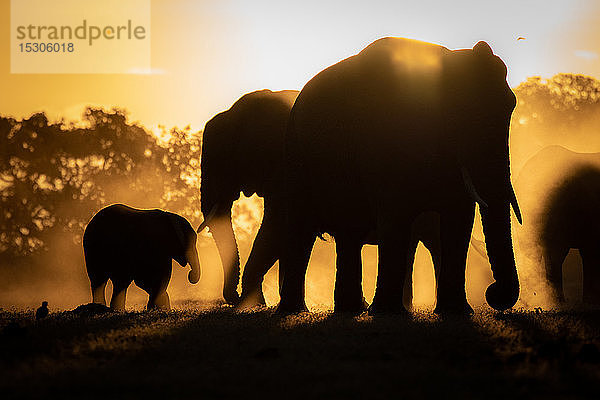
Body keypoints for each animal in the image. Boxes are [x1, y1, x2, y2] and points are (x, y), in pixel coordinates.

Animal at [280, 37, 520, 314]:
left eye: (511, 106)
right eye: (461, 112)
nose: (493, 293)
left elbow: (459, 217)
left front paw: (457, 313)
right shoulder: (385, 140)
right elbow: (395, 216)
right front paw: (387, 313)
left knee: (348, 232)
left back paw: (351, 310)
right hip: (295, 156)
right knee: (302, 228)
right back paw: (296, 311)